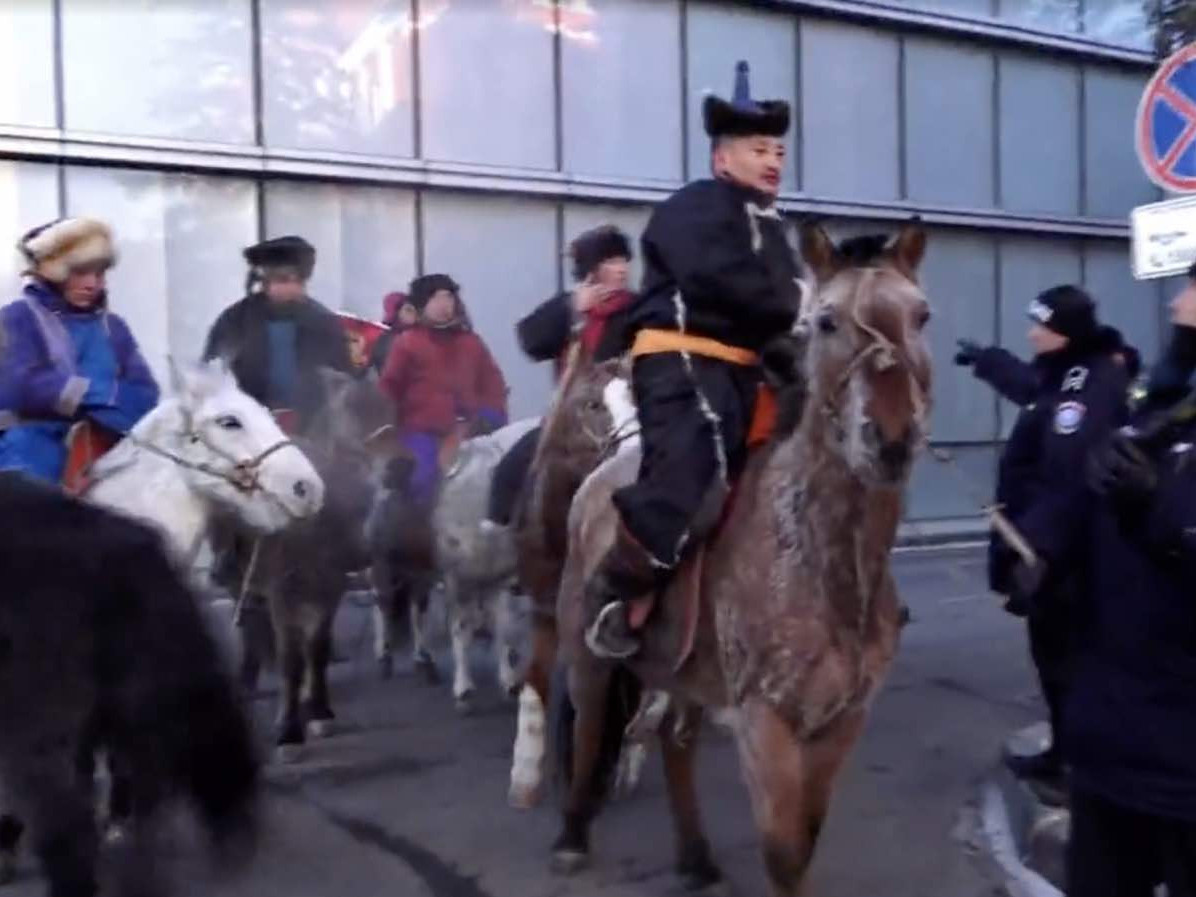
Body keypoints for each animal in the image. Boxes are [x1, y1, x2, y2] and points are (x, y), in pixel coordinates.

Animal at [547, 220, 928, 897]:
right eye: (826, 321)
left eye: (921, 315)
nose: (890, 439)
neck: (826, 562)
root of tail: (606, 470)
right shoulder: (763, 719)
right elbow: (782, 851)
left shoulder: (842, 720)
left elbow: (805, 840)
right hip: (587, 651)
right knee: (590, 728)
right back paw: (571, 836)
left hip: (685, 672)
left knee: (675, 742)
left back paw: (696, 856)